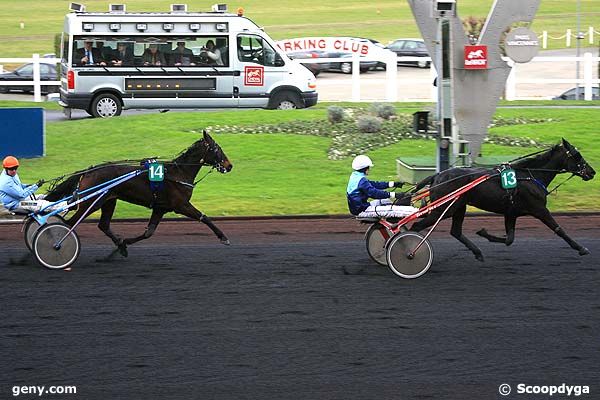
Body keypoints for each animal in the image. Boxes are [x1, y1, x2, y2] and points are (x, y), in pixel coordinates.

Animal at [45, 131, 233, 256]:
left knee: (103, 225)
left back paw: (120, 245)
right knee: (69, 224)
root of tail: (88, 171)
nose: (229, 165)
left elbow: (148, 232)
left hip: (108, 201)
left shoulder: (160, 208)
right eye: (217, 149)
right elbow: (204, 217)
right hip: (91, 203)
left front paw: (124, 243)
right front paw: (223, 237)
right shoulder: (181, 205)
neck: (178, 173)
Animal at [412, 139, 596, 260]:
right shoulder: (539, 209)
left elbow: (509, 239)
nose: (592, 172)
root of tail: (437, 176)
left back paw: (477, 252)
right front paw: (581, 248)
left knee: (455, 231)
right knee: (416, 226)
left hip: (458, 207)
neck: (530, 176)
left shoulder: (511, 212)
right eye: (577, 155)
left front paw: (484, 233)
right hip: (443, 209)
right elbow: (559, 229)